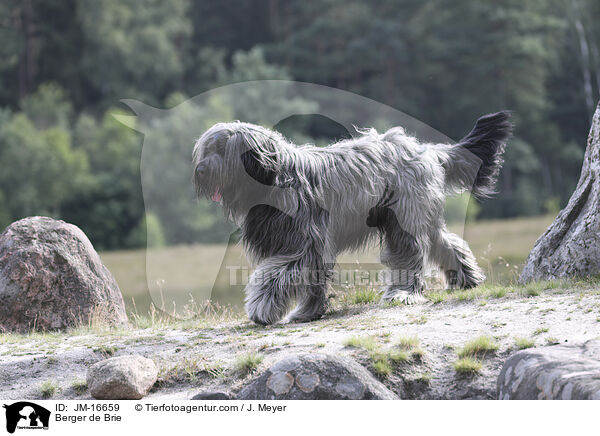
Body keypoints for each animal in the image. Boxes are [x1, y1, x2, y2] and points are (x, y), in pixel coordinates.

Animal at [192, 111, 510, 324]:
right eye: (205, 150)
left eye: (221, 149)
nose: (200, 171)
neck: (274, 179)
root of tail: (427, 150)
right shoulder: (300, 245)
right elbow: (311, 284)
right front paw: (306, 313)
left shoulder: (305, 245)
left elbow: (277, 276)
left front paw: (262, 308)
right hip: (421, 216)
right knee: (447, 243)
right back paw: (466, 279)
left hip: (403, 221)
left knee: (411, 257)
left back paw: (404, 293)